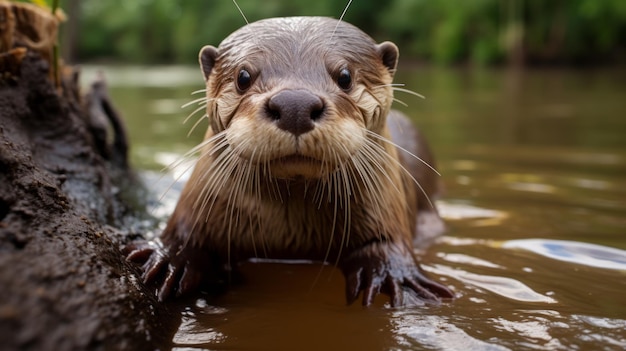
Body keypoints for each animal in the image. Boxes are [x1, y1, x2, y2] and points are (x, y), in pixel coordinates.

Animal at [123, 17, 454, 308]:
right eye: (243, 76)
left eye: (345, 76)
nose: (295, 105)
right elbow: (184, 237)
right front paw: (169, 258)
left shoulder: (386, 209)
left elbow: (385, 245)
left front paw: (394, 275)